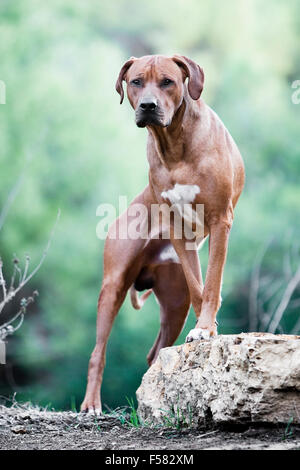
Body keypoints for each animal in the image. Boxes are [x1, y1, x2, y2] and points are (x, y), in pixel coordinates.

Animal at [81, 56, 245, 414]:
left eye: (168, 81)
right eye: (136, 82)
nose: (148, 106)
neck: (174, 145)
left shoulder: (219, 221)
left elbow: (210, 285)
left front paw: (205, 330)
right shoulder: (177, 229)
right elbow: (200, 288)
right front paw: (206, 329)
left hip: (173, 302)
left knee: (155, 352)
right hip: (113, 285)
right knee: (98, 352)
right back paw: (91, 404)